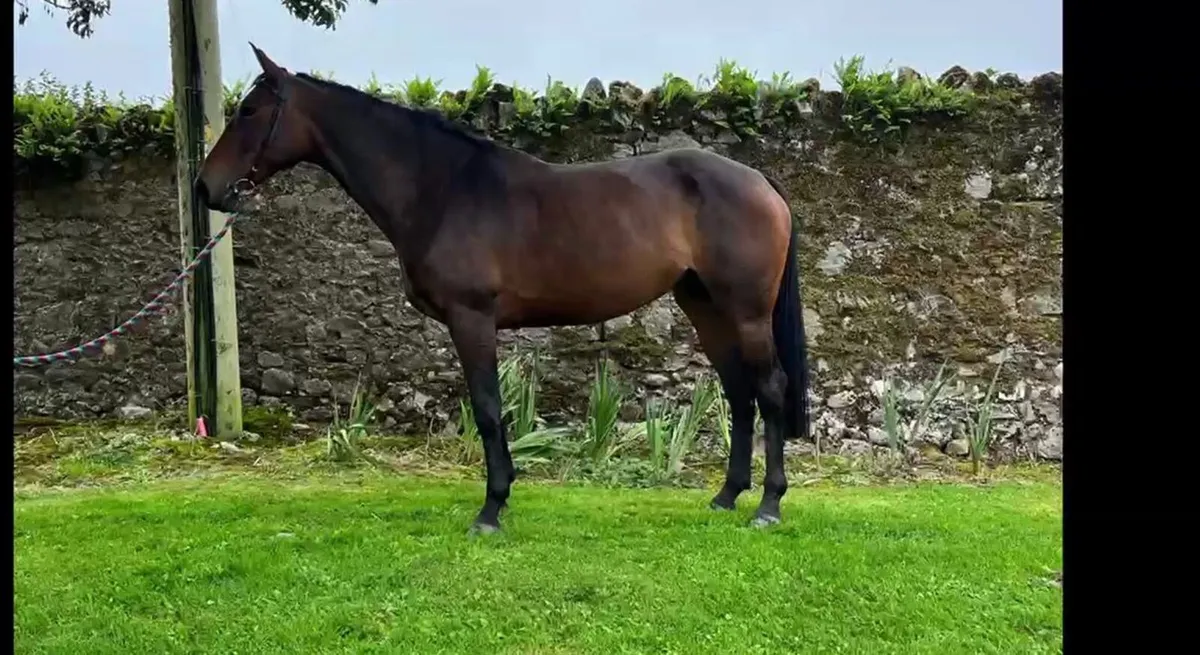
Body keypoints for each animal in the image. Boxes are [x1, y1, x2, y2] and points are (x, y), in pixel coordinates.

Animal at [196, 44, 811, 534]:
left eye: (249, 110)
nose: (206, 187)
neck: (443, 189)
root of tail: (759, 180)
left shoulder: (472, 319)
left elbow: (489, 408)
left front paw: (490, 510)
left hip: (746, 311)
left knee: (770, 388)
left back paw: (768, 506)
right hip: (704, 306)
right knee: (739, 393)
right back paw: (727, 496)